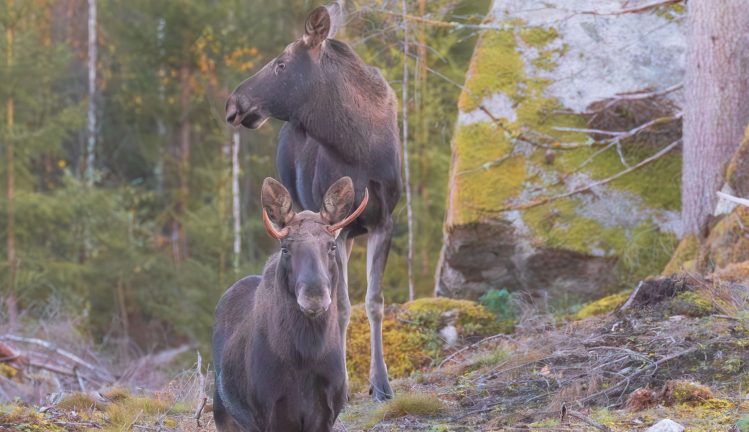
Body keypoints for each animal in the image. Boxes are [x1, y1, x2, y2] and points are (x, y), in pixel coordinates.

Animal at [213, 176, 368, 432]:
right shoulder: (269, 416)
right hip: (223, 414)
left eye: (332, 246)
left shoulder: (326, 414)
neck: (305, 356)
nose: (314, 295)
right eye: (285, 248)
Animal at [225, 3, 404, 402]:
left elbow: (375, 302)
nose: (233, 103)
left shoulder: (382, 220)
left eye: (280, 64)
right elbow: (341, 306)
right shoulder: (339, 228)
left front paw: (382, 384)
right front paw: (345, 384)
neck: (357, 147)